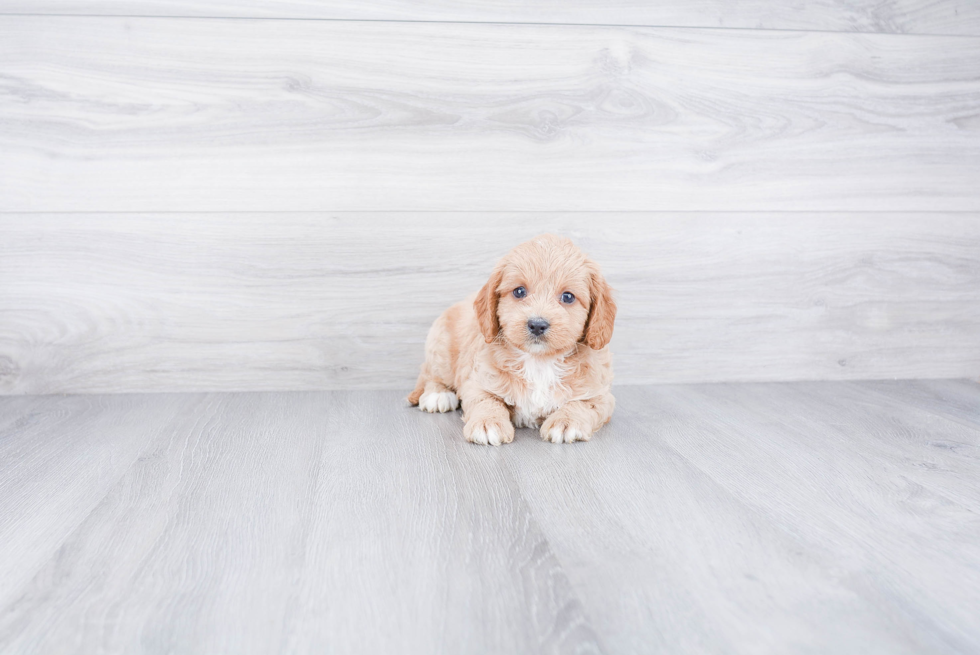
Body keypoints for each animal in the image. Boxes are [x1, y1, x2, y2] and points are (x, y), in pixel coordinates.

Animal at [406, 236, 612, 446]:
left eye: (568, 297)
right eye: (519, 291)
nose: (537, 325)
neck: (539, 361)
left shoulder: (601, 395)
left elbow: (583, 404)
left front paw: (566, 421)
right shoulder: (477, 383)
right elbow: (486, 401)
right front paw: (487, 423)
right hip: (441, 349)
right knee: (431, 373)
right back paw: (438, 395)